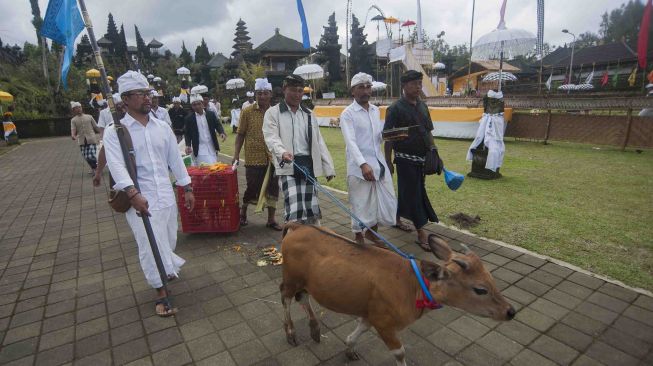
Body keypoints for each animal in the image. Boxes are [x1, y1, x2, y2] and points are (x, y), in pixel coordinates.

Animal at [280, 223, 516, 366]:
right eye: (480, 289)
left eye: (491, 279)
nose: (511, 311)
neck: (412, 286)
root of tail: (297, 226)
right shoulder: (384, 322)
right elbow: (400, 352)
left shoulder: (371, 314)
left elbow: (358, 331)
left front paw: (349, 349)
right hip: (291, 279)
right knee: (285, 298)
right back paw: (291, 333)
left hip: (305, 282)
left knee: (303, 297)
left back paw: (315, 329)